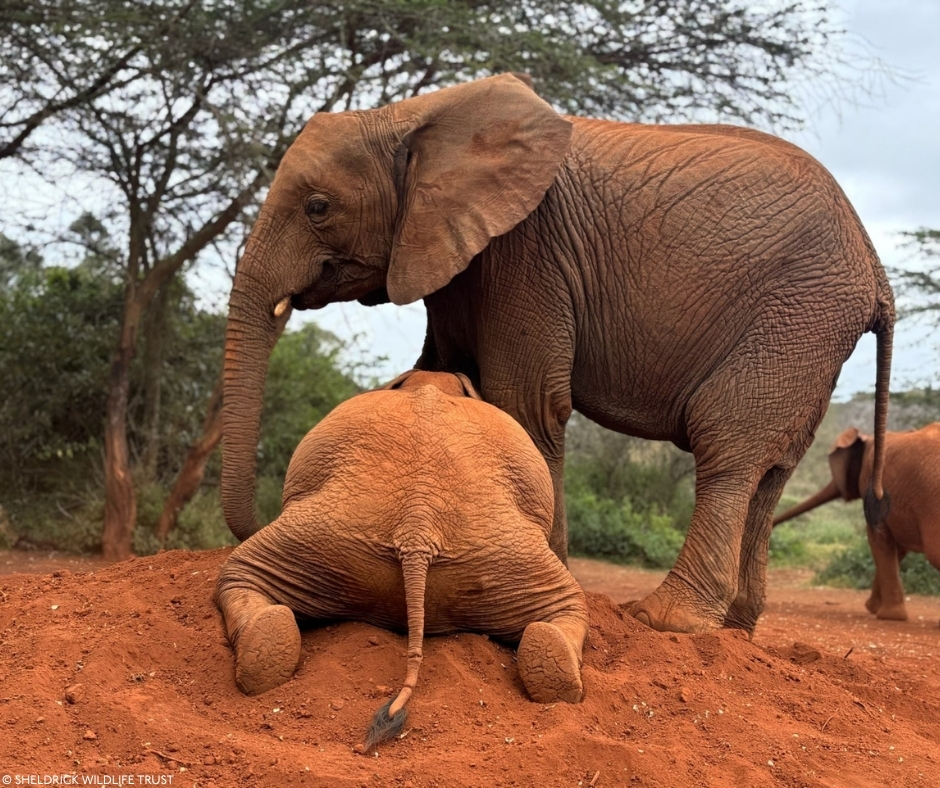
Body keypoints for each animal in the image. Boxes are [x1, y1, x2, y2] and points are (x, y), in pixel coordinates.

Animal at [220, 72, 895, 636]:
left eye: (318, 208)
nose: (262, 517)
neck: (414, 117)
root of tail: (875, 270)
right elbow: (439, 371)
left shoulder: (527, 252)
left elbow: (521, 402)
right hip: (808, 333)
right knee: (772, 466)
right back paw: (735, 630)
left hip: (797, 313)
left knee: (729, 446)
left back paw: (666, 621)